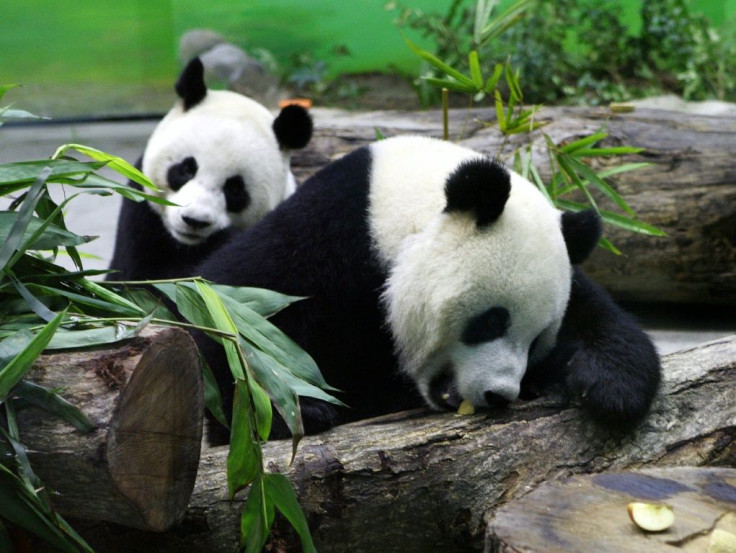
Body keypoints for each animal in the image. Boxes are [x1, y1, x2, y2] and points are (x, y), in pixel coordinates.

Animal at [106, 57, 310, 280]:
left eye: (235, 188)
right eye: (186, 169)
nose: (195, 221)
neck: (188, 245)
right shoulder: (140, 216)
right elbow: (147, 277)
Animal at [191, 134, 660, 440]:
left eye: (537, 340)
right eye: (491, 322)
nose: (500, 394)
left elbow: (596, 315)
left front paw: (609, 389)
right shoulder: (327, 236)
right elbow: (231, 307)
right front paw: (296, 406)